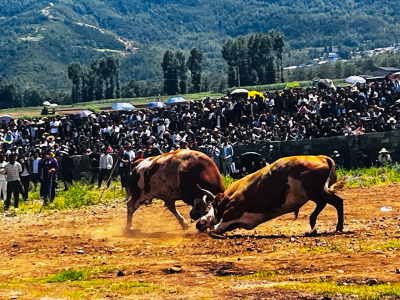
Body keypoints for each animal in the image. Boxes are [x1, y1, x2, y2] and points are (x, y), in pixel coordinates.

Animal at [195, 156, 344, 236]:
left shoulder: (232, 211)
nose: (199, 223)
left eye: (208, 207)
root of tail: (320, 157)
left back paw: (335, 227)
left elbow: (216, 227)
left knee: (337, 202)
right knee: (325, 203)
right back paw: (316, 225)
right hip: (318, 193)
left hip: (316, 192)